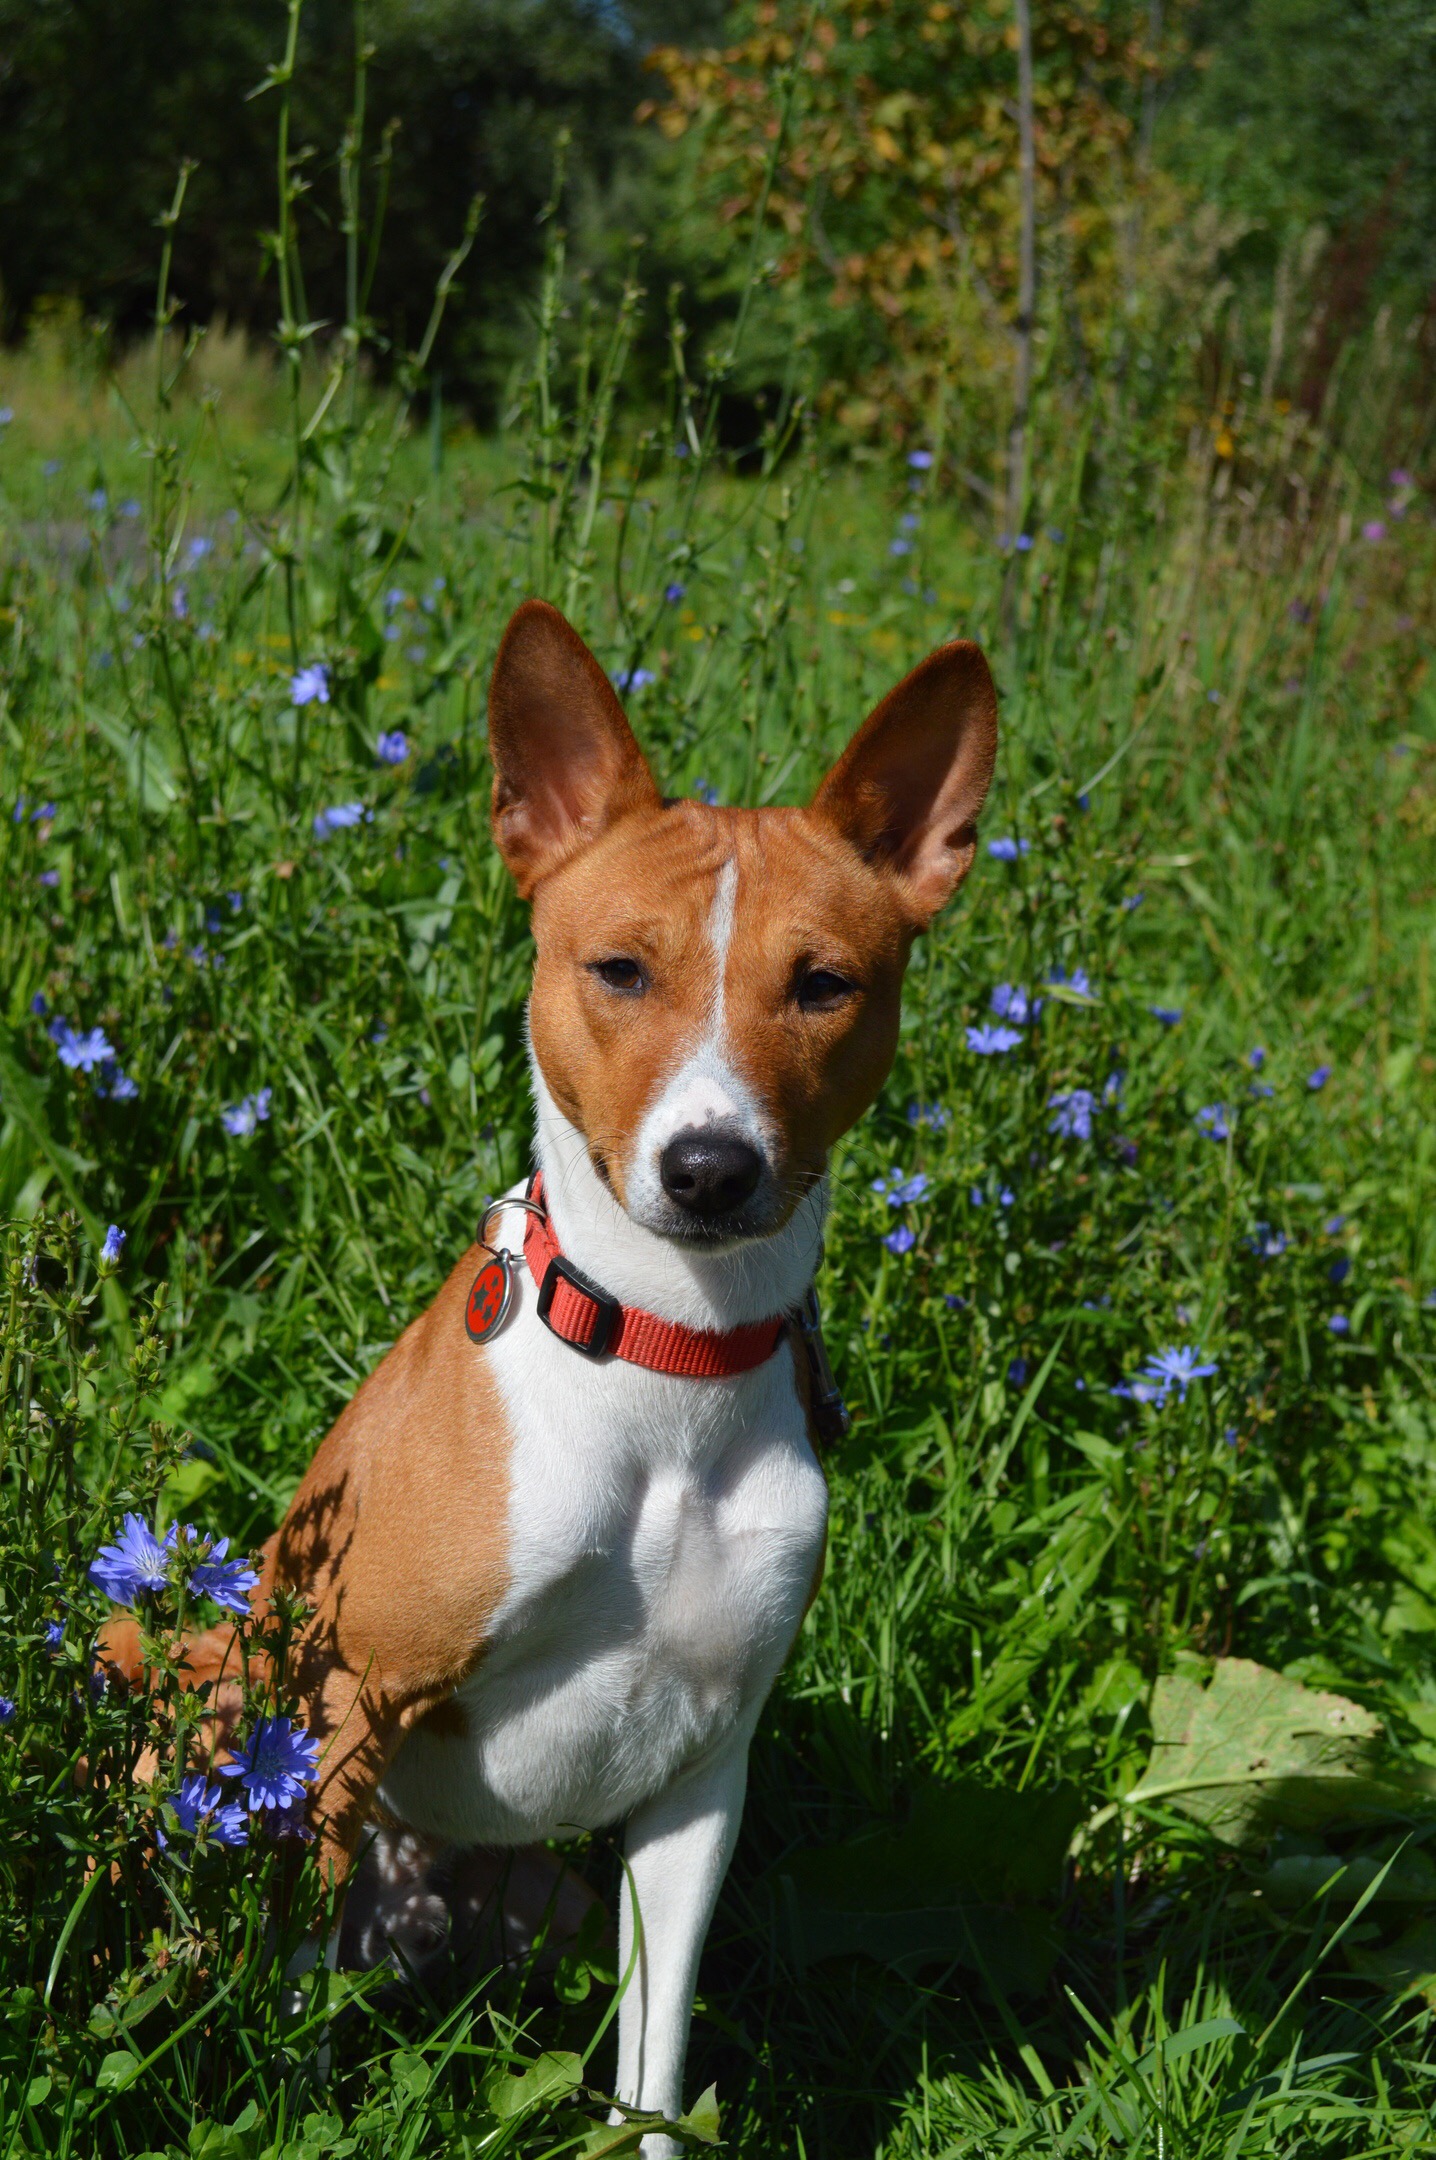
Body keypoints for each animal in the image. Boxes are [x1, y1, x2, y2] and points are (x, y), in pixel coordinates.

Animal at [114, 600, 997, 2151]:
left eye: (825, 985)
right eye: (620, 970)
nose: (711, 1168)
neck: (665, 1361)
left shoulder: (700, 1778)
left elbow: (654, 2072)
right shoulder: (345, 1708)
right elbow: (292, 2001)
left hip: (555, 1902)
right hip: (232, 1714)